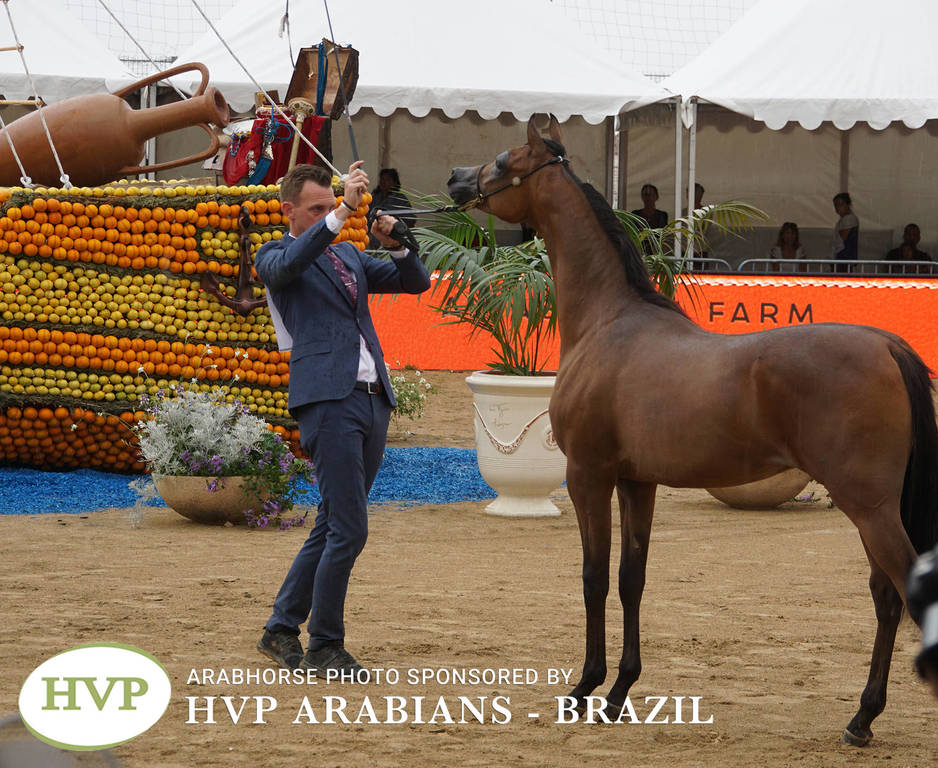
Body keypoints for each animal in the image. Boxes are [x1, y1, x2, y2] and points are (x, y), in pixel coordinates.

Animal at [446, 117, 938, 745]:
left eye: (505, 161)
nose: (457, 178)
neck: (609, 321)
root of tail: (886, 344)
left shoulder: (588, 476)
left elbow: (594, 577)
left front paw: (584, 689)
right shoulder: (637, 482)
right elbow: (631, 577)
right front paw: (619, 692)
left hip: (868, 504)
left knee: (902, 591)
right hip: (875, 506)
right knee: (885, 596)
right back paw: (862, 717)